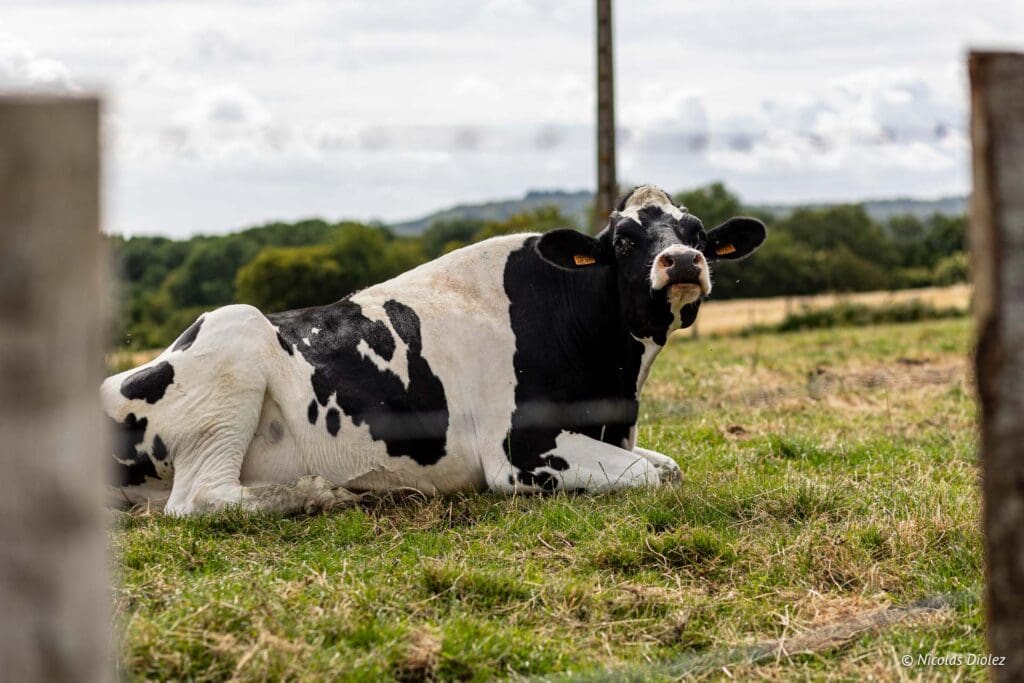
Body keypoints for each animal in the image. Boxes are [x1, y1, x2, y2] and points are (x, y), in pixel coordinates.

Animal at [103, 184, 765, 516]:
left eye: (698, 233)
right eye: (624, 239)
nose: (681, 261)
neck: (615, 386)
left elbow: (667, 467)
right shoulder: (519, 453)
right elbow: (649, 477)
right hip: (233, 341)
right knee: (198, 499)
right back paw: (317, 493)